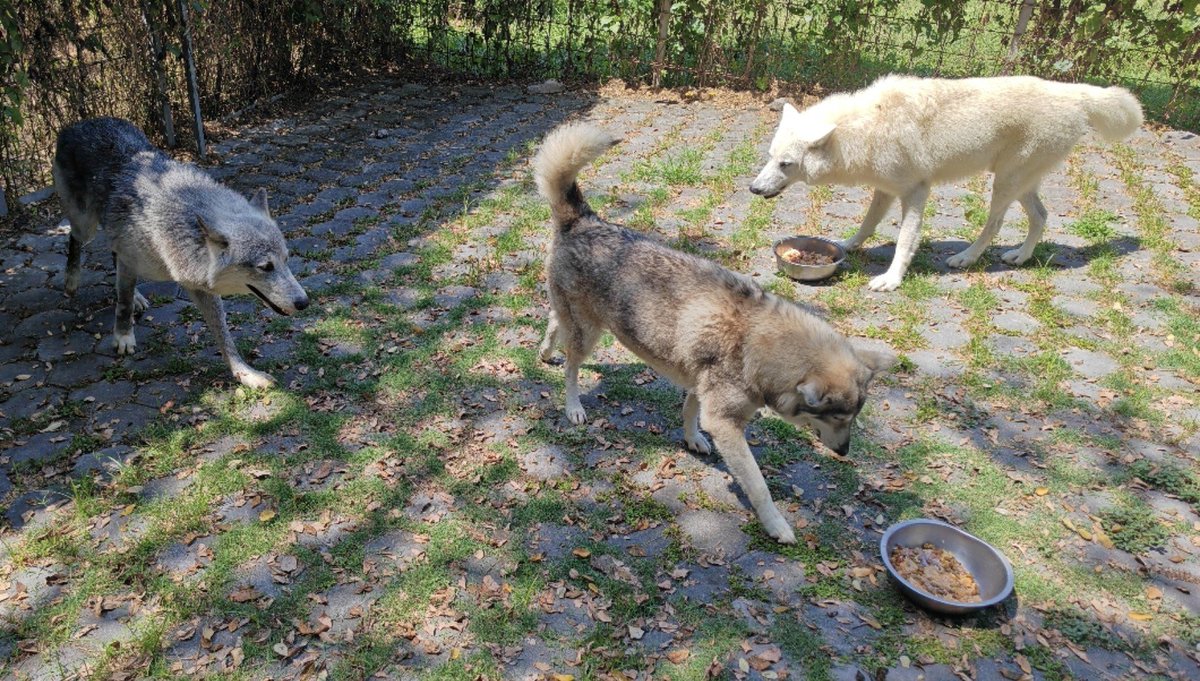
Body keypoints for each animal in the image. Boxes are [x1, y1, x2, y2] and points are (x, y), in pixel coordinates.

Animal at [53, 117, 308, 388]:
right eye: (265, 267)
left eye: (286, 260)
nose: (304, 302)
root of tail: (77, 124)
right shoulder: (131, 260)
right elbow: (122, 303)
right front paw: (123, 337)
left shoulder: (200, 288)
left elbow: (225, 337)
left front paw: (246, 373)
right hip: (86, 227)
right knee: (74, 239)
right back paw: (71, 281)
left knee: (114, 255)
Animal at [534, 122, 895, 544]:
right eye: (837, 417)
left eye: (854, 417)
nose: (845, 453)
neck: (755, 340)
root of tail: (584, 220)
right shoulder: (726, 424)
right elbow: (758, 485)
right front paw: (776, 524)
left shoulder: (699, 388)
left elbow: (690, 412)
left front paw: (692, 439)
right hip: (589, 335)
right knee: (571, 368)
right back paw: (573, 406)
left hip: (576, 320)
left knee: (553, 323)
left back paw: (545, 352)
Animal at [750, 75, 1143, 291]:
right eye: (769, 157)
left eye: (786, 164)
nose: (754, 189)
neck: (863, 128)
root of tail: (1075, 94)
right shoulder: (885, 190)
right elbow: (867, 224)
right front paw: (848, 245)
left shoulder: (915, 192)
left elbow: (905, 242)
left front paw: (891, 280)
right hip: (1021, 184)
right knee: (1041, 217)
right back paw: (1020, 256)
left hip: (1005, 183)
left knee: (995, 224)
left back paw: (966, 258)